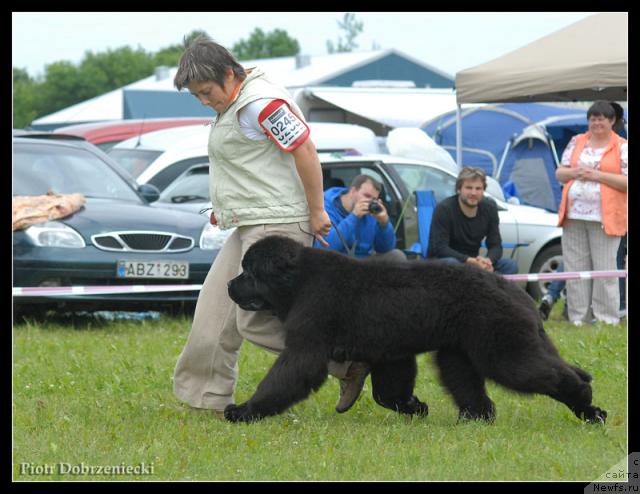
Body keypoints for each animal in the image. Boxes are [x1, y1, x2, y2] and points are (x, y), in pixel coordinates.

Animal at [225, 235, 604, 424]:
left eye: (250, 273)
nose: (229, 285)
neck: (300, 281)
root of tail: (511, 288)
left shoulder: (307, 346)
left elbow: (282, 379)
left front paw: (244, 411)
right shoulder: (390, 354)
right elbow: (387, 393)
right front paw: (414, 407)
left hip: (503, 352)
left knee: (552, 375)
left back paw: (588, 406)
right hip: (459, 355)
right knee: (477, 389)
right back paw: (475, 420)